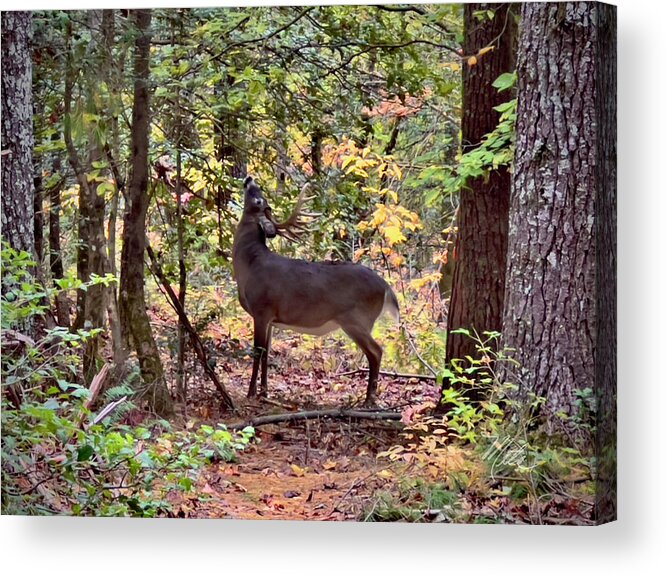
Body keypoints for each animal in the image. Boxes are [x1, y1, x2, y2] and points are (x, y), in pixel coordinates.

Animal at [232, 178, 400, 408]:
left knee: (376, 351)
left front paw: (250, 393)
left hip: (356, 319)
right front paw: (264, 392)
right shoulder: (272, 319)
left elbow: (258, 351)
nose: (249, 179)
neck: (249, 266)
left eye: (258, 198)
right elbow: (267, 353)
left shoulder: (261, 309)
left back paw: (368, 400)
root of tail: (386, 287)